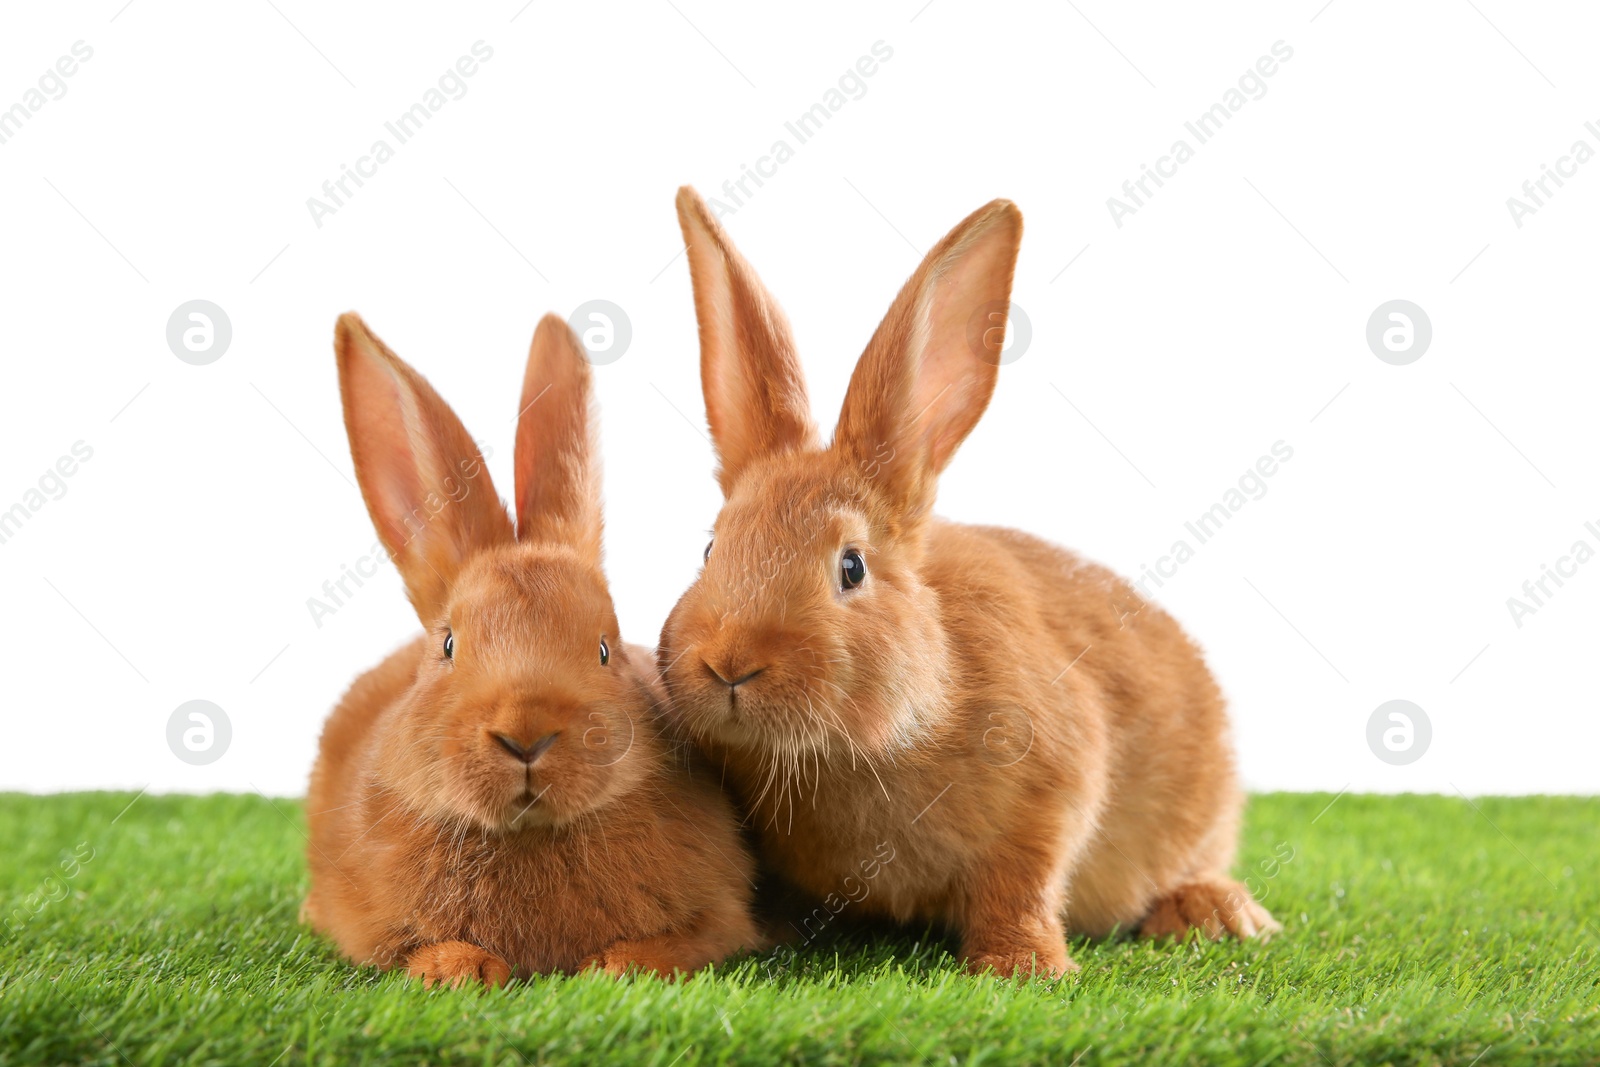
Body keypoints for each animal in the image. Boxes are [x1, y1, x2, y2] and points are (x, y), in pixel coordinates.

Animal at [300, 313, 761, 991]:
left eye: (606, 649)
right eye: (448, 645)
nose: (525, 734)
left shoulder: (721, 917)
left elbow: (687, 944)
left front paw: (617, 968)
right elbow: (410, 950)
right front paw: (459, 970)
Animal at [656, 189, 1280, 979]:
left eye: (852, 566)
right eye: (710, 549)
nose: (729, 663)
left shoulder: (1048, 794)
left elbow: (1020, 883)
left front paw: (1024, 967)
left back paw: (1217, 913)